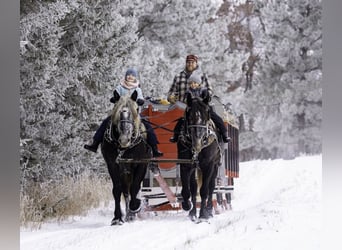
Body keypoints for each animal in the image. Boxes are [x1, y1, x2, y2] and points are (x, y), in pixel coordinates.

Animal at [176, 92, 222, 221]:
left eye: (207, 114)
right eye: (190, 116)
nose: (198, 143)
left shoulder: (208, 165)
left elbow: (204, 191)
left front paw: (203, 214)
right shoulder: (185, 165)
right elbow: (188, 190)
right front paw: (187, 206)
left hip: (215, 166)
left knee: (211, 187)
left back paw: (209, 209)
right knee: (193, 187)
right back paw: (192, 212)